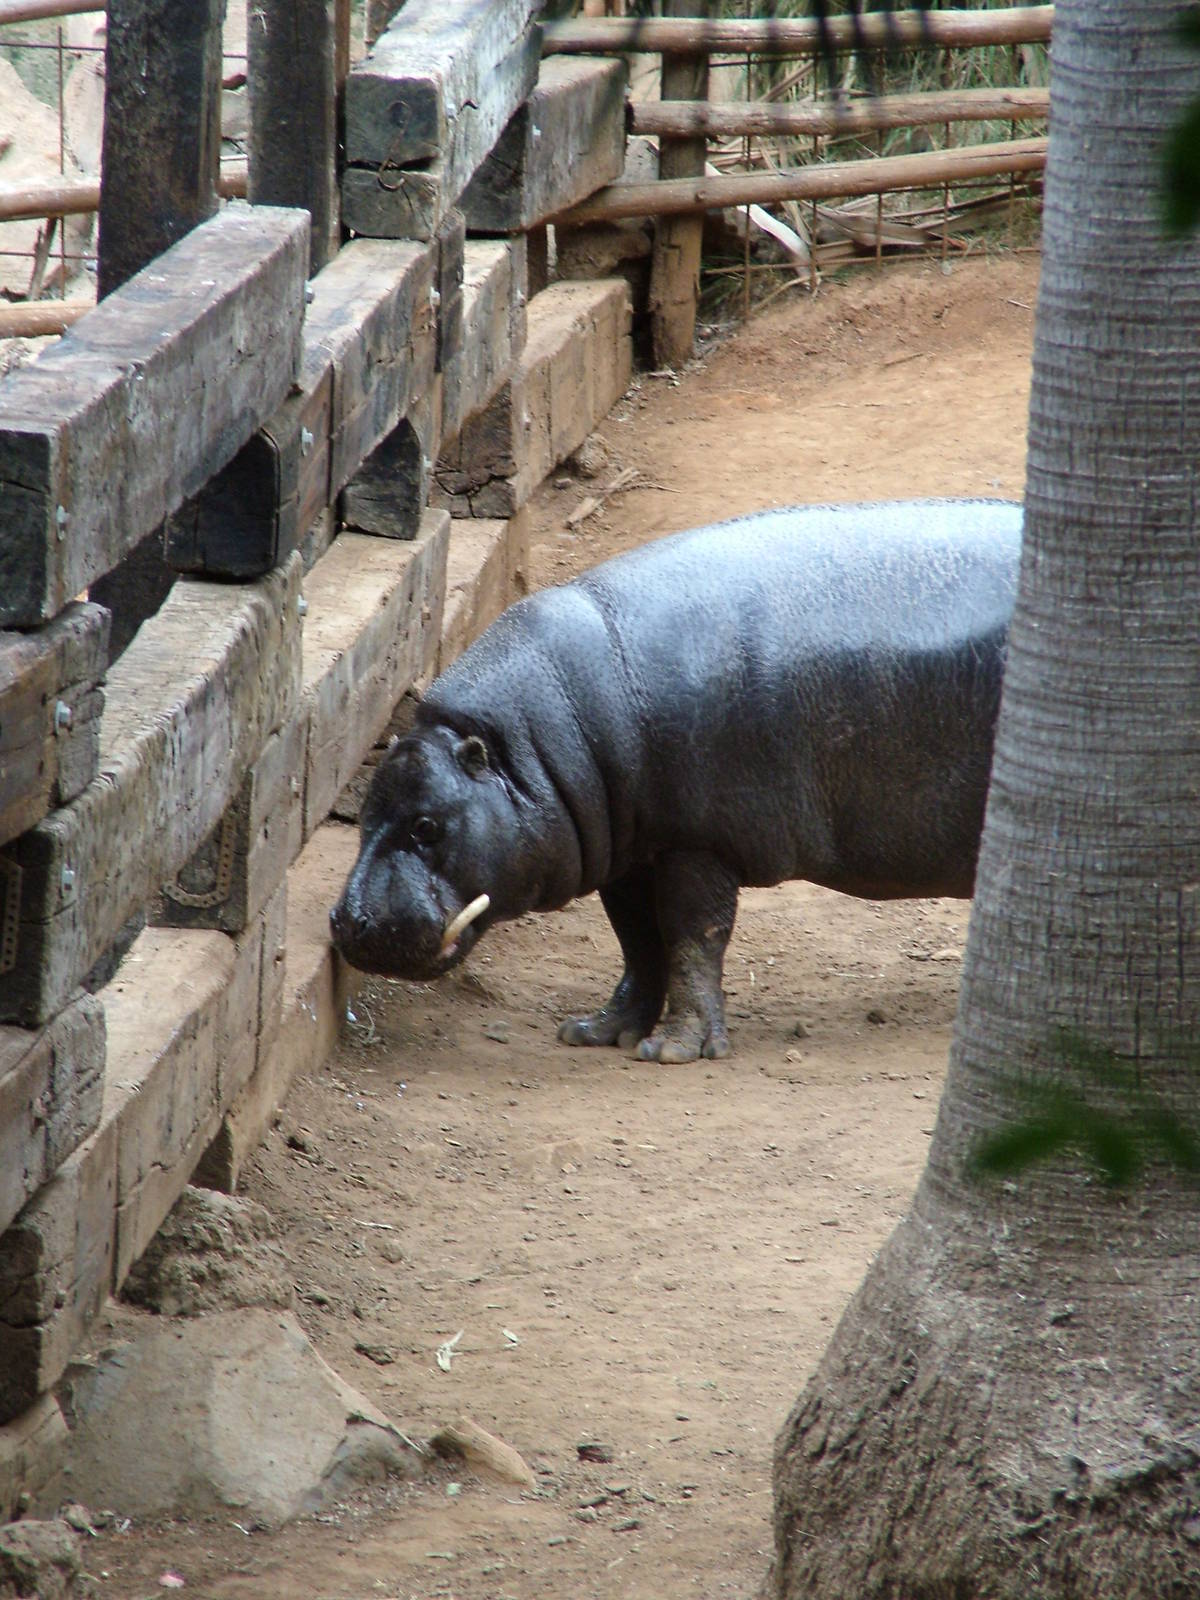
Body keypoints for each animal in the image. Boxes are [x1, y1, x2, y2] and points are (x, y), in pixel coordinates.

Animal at [330, 499, 1020, 1063]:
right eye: (363, 815)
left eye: (427, 825)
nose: (350, 923)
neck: (536, 741)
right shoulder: (631, 851)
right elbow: (638, 942)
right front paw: (596, 1033)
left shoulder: (699, 843)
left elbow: (692, 939)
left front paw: (674, 1051)